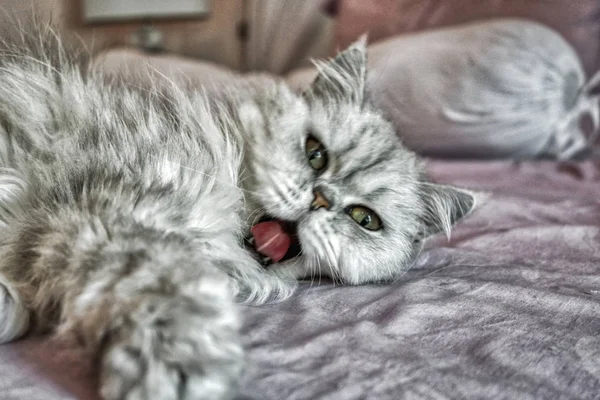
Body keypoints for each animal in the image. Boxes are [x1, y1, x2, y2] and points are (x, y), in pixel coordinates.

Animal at [0, 26, 478, 398]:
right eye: (315, 154)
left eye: (365, 220)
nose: (320, 197)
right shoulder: (108, 214)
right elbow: (159, 289)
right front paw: (180, 368)